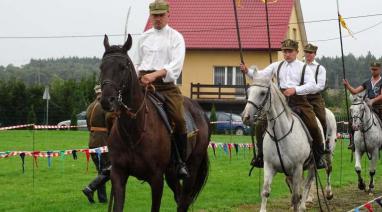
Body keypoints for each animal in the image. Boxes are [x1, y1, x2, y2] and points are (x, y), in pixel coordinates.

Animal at [100, 34, 210, 211]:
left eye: (123, 67)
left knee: (184, 200)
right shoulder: (118, 175)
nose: (106, 100)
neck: (134, 130)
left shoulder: (156, 178)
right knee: (180, 197)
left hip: (192, 168)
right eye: (101, 67)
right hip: (171, 173)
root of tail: (201, 113)